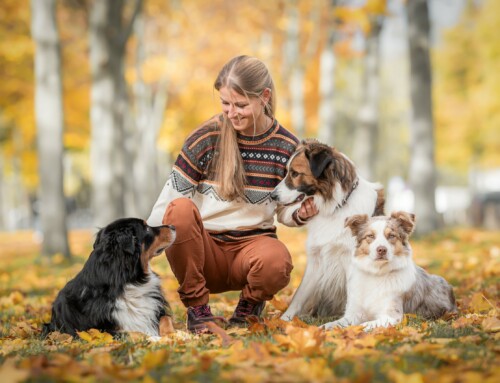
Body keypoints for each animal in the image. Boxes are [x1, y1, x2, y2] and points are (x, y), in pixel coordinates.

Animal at [43, 218, 177, 338]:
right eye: (147, 228)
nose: (173, 226)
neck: (127, 280)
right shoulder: (100, 331)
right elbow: (134, 333)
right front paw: (154, 339)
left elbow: (166, 319)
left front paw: (173, 336)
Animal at [272, 140, 384, 320]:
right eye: (286, 172)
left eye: (295, 173)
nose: (272, 196)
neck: (336, 206)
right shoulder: (316, 258)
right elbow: (299, 295)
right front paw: (284, 321)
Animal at [320, 213, 458, 330]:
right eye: (370, 236)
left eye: (391, 236)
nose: (381, 249)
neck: (376, 274)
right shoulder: (354, 313)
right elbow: (335, 323)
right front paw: (323, 328)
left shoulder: (392, 317)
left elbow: (364, 325)